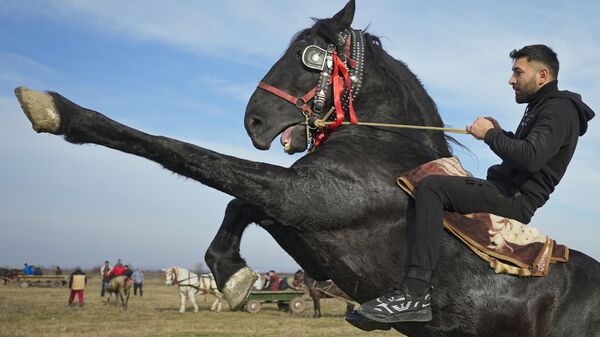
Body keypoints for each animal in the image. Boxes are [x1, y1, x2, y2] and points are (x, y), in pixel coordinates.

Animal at [14, 1, 600, 334]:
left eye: (308, 57)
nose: (253, 119)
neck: (384, 146)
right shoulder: (295, 204)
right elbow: (237, 199)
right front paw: (232, 275)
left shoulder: (306, 201)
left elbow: (181, 152)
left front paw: (57, 109)